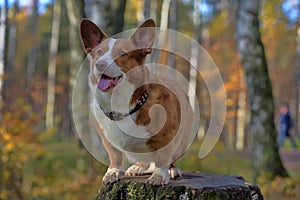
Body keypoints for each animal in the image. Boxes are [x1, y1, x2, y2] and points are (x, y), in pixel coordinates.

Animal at [79, 18, 195, 185]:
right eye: (99, 53)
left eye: (122, 54)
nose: (99, 64)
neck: (121, 104)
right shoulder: (107, 139)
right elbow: (115, 156)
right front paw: (113, 172)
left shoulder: (167, 136)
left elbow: (163, 158)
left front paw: (160, 175)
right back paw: (138, 167)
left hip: (183, 141)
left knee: (169, 159)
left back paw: (172, 170)